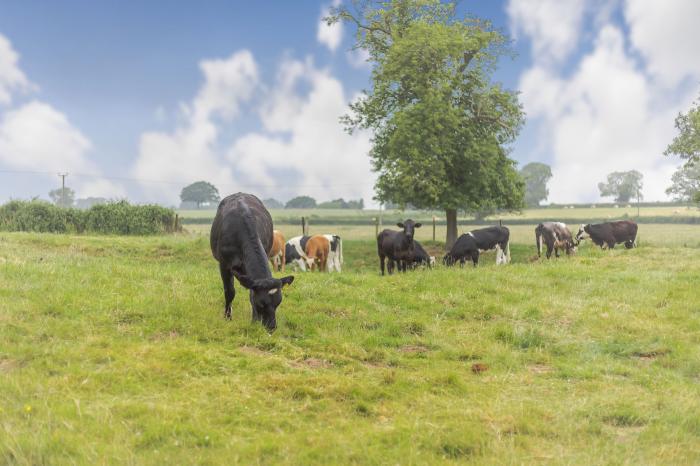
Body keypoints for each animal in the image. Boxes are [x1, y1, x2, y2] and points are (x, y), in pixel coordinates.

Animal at [209, 193, 294, 332]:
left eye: (278, 302)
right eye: (261, 303)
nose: (271, 327)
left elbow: (251, 293)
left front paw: (254, 321)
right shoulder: (224, 264)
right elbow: (229, 291)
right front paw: (227, 317)